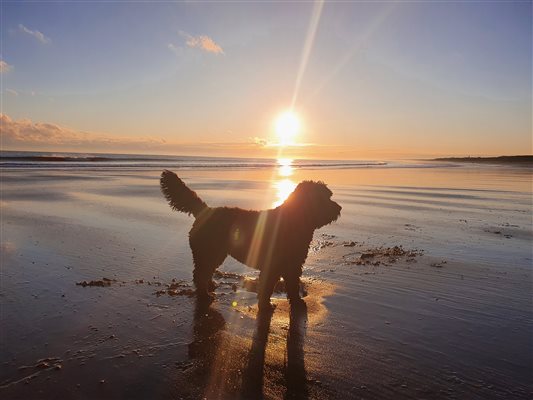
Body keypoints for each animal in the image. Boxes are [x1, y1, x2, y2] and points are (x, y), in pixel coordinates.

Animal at [159, 170, 340, 310]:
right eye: (325, 197)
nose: (339, 208)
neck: (293, 220)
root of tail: (205, 211)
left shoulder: (293, 265)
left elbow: (293, 285)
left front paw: (296, 302)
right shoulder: (273, 266)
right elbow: (267, 288)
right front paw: (266, 306)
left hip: (214, 253)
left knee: (205, 272)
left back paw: (210, 286)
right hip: (209, 252)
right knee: (200, 274)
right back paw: (204, 294)